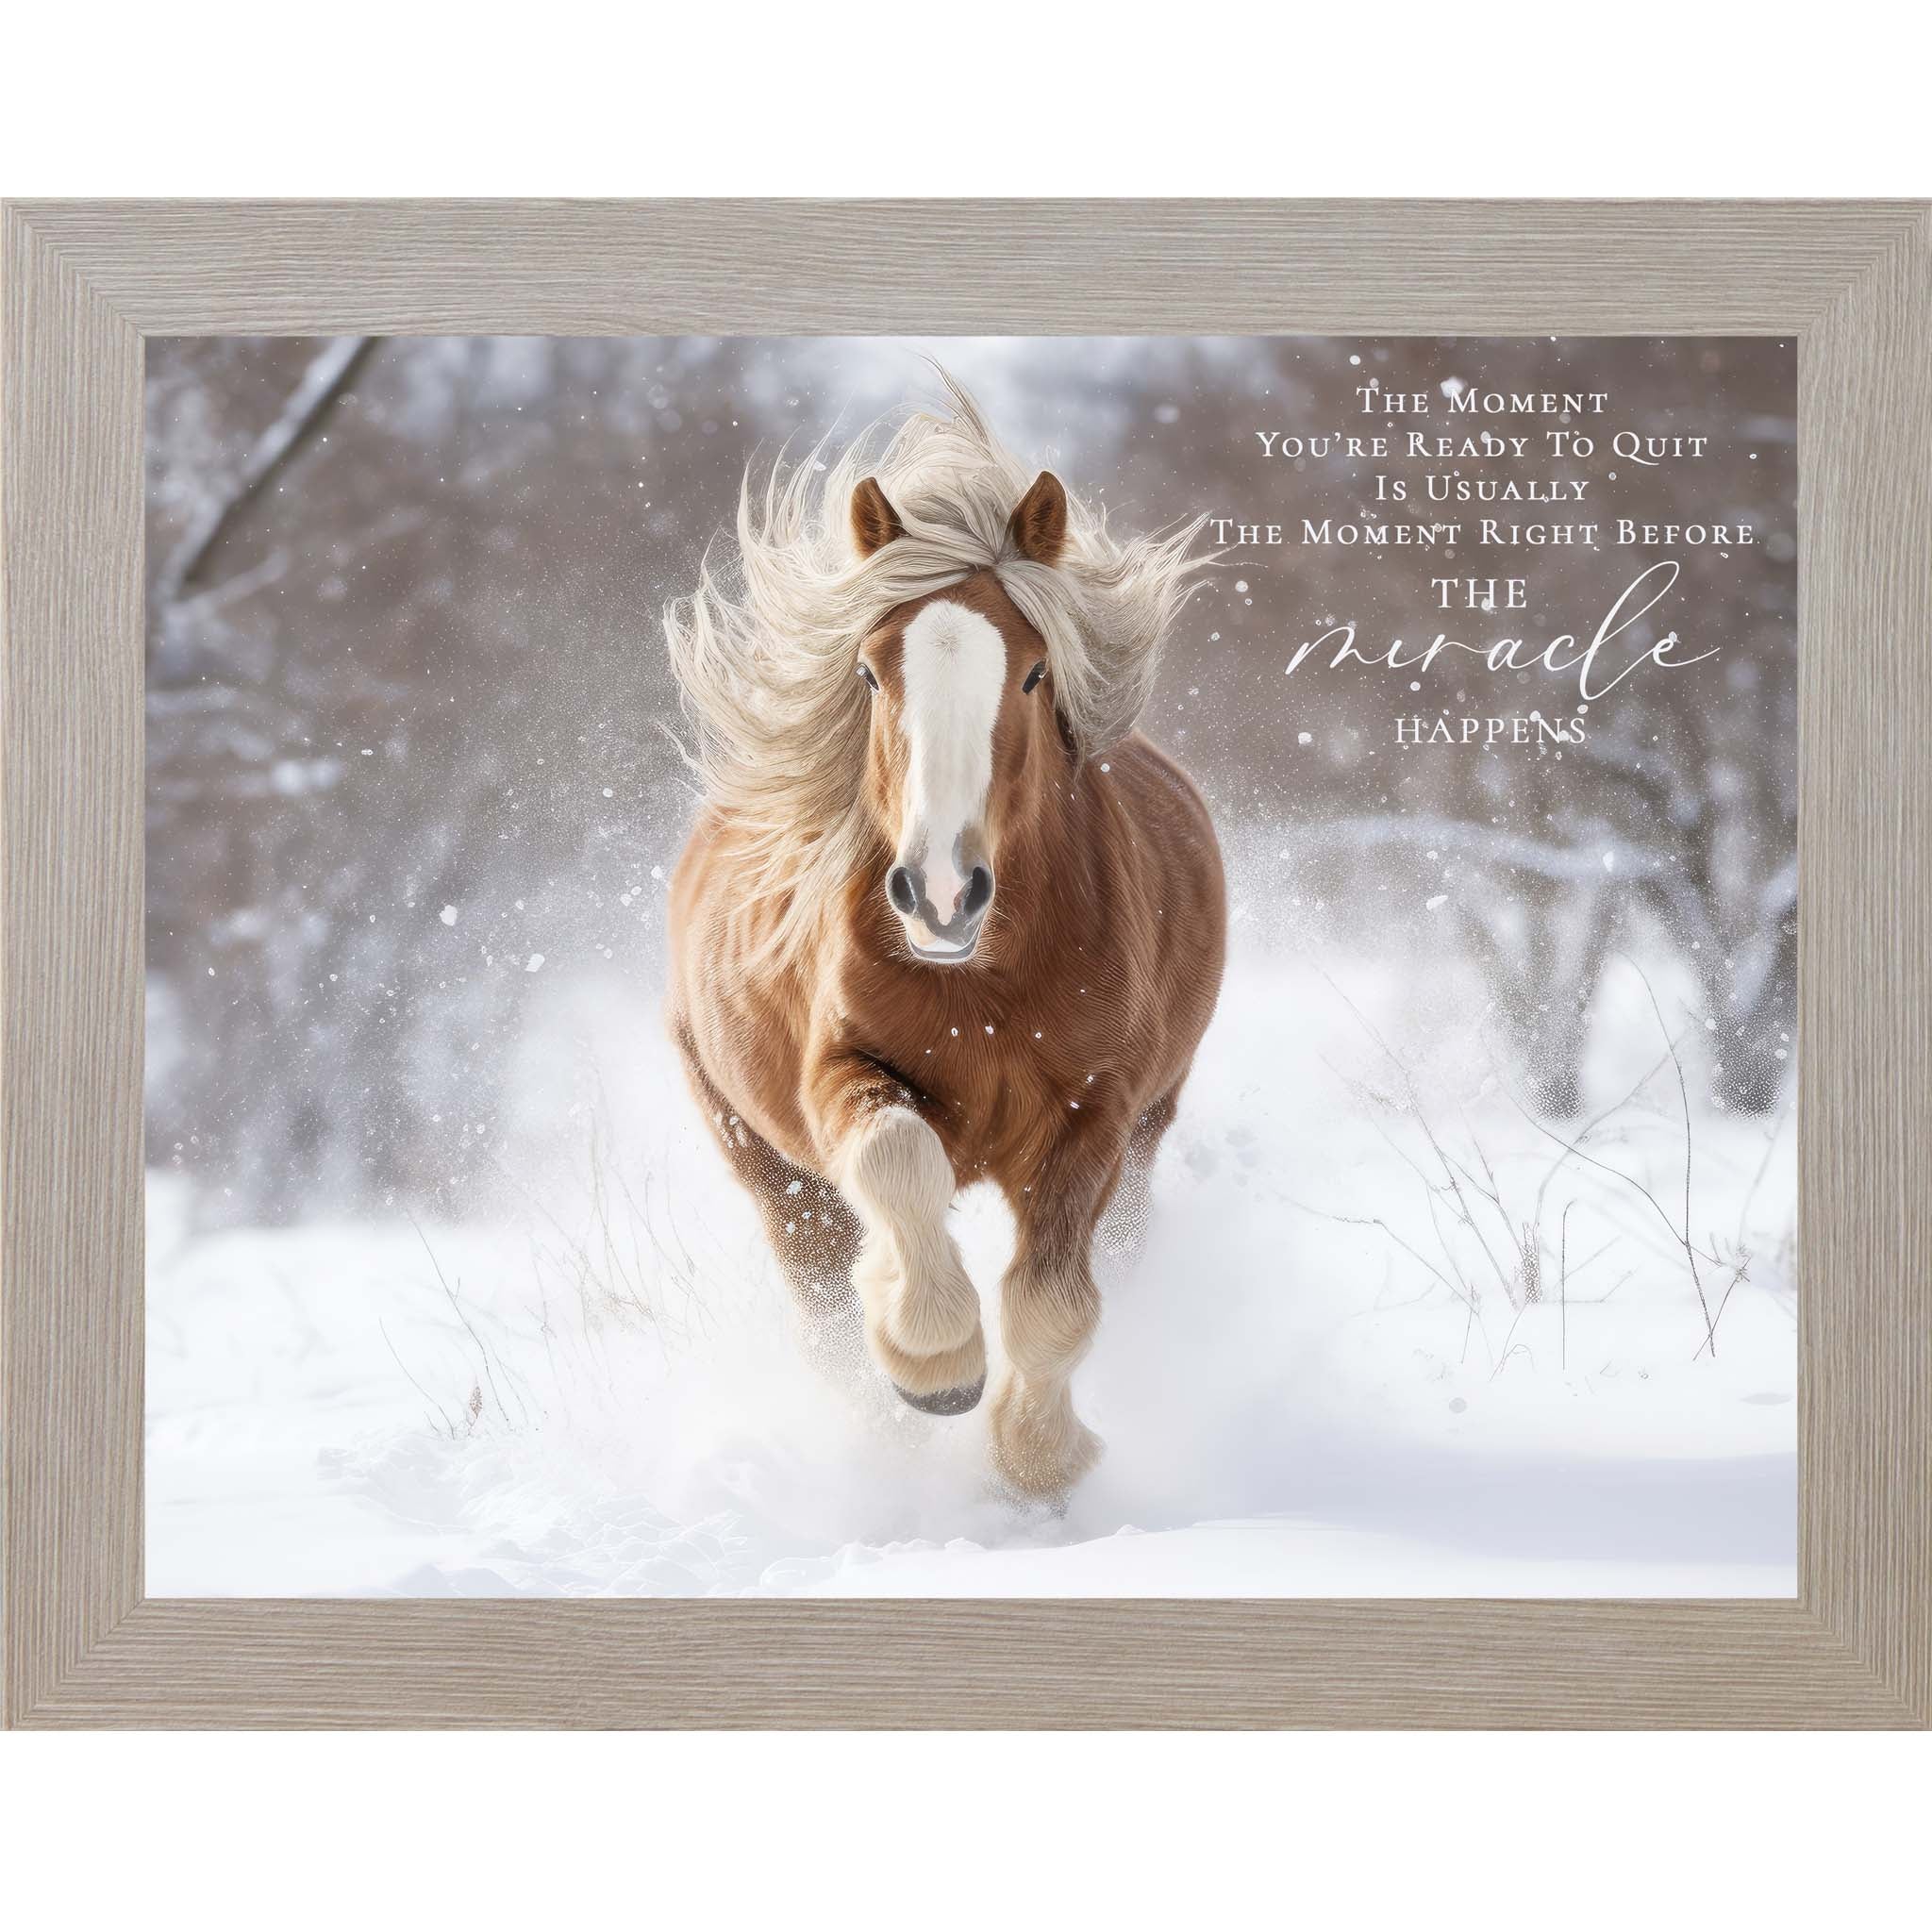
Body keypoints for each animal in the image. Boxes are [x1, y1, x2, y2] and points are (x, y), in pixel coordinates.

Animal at [662, 379, 1225, 1500]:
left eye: (1035, 672)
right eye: (872, 673)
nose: (938, 895)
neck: (986, 984)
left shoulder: (1097, 1114)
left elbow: (1053, 1306)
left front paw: (1043, 1455)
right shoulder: (838, 1073)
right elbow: (897, 1160)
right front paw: (935, 1361)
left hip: (1149, 1135)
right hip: (766, 1165)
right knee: (826, 1313)